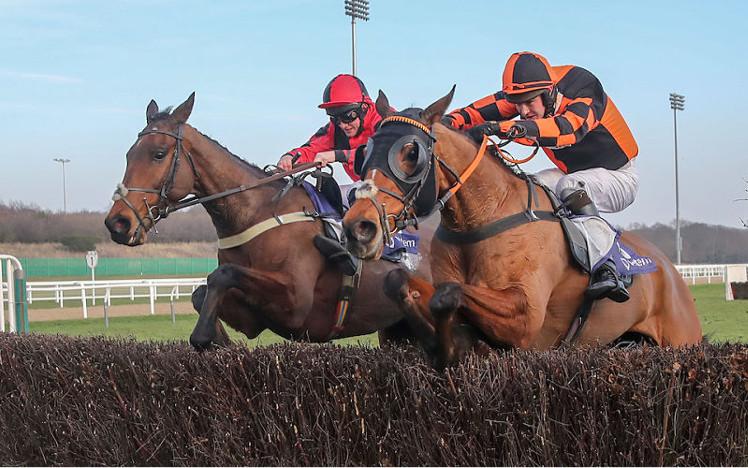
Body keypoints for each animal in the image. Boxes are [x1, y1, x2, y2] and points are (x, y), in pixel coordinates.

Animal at [103, 93, 432, 350]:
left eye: (158, 154)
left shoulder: (297, 305)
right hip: (397, 329)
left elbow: (221, 275)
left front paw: (203, 336)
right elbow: (201, 293)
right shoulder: (255, 316)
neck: (255, 212)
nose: (118, 223)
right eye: (129, 154)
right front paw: (218, 341)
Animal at [342, 86, 704, 368]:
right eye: (365, 151)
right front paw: (446, 344)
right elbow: (406, 284)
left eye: (411, 152)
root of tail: (669, 269)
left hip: (680, 338)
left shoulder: (525, 318)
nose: (359, 227)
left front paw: (446, 348)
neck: (481, 219)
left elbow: (449, 293)